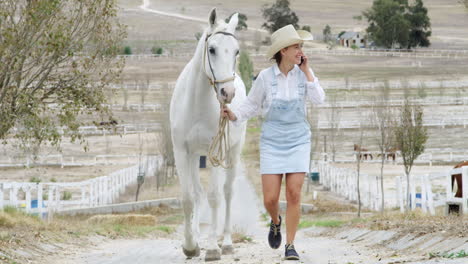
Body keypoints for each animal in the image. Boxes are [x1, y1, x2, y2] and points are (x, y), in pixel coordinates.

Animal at [169, 7, 249, 260]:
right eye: (212, 49)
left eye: (236, 51)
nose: (227, 93)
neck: (196, 103)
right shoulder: (182, 151)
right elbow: (188, 198)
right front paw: (190, 245)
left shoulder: (216, 154)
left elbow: (215, 198)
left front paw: (213, 248)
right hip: (195, 156)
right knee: (197, 193)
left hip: (233, 152)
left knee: (227, 193)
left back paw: (227, 242)